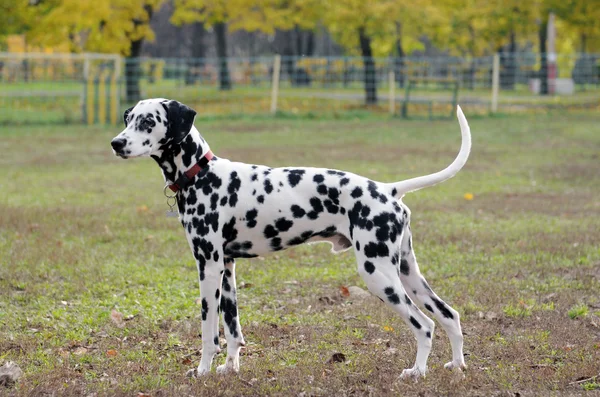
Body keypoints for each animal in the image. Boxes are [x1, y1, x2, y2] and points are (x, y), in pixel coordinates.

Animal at [110, 97, 472, 378]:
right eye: (128, 119)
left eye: (148, 121)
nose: (116, 143)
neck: (202, 175)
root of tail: (388, 189)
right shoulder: (227, 268)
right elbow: (233, 329)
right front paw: (229, 368)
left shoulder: (208, 268)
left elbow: (209, 333)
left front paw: (203, 371)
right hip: (408, 274)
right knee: (449, 316)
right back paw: (456, 364)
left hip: (378, 275)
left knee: (424, 325)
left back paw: (417, 372)